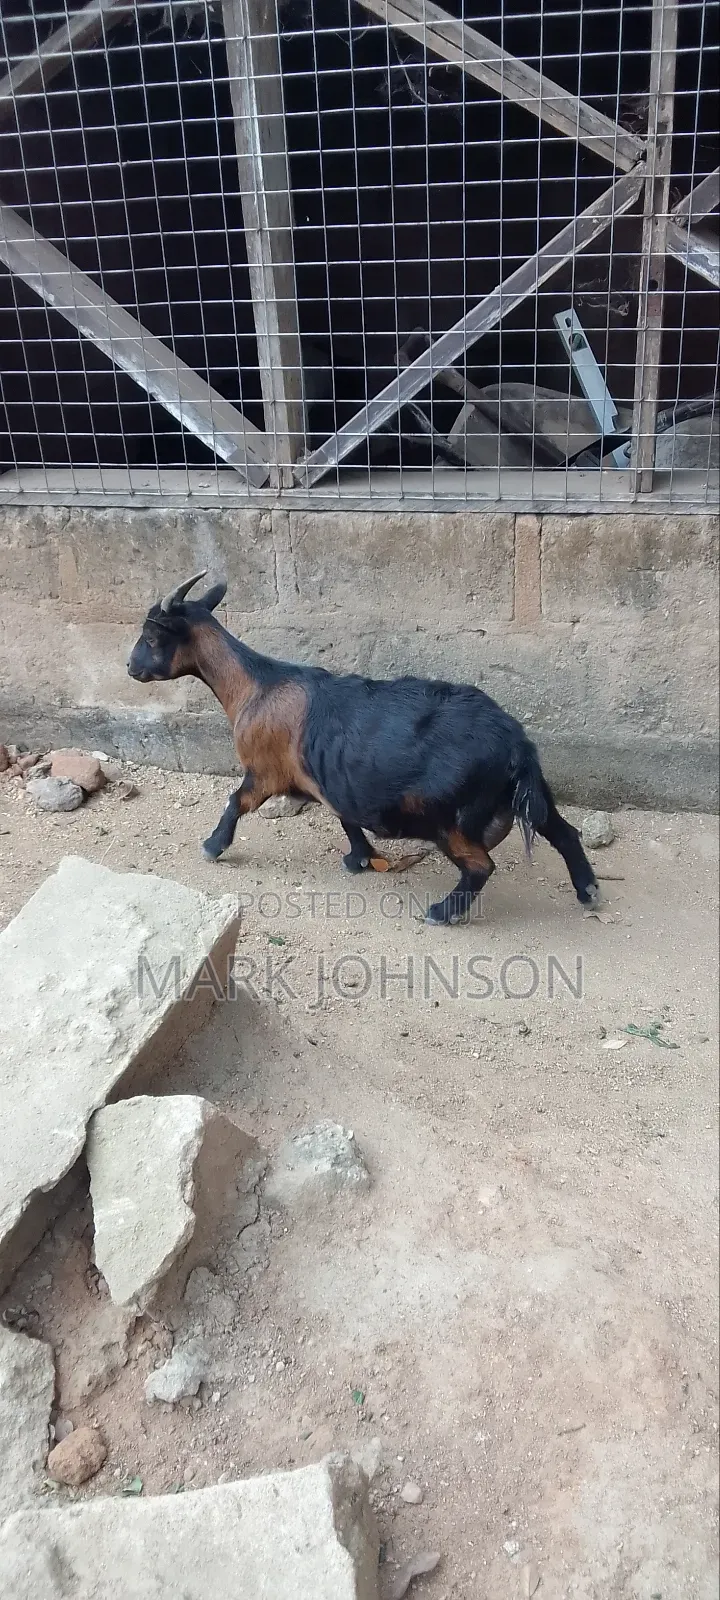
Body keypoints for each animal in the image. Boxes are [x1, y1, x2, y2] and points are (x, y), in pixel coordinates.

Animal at [128, 572, 598, 924]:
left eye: (151, 636)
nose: (130, 667)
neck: (254, 686)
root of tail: (516, 745)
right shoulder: (332, 781)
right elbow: (346, 818)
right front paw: (360, 857)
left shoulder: (263, 772)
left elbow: (235, 802)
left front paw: (213, 846)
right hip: (531, 798)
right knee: (565, 832)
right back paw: (588, 888)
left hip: (450, 819)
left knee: (481, 865)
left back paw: (443, 912)